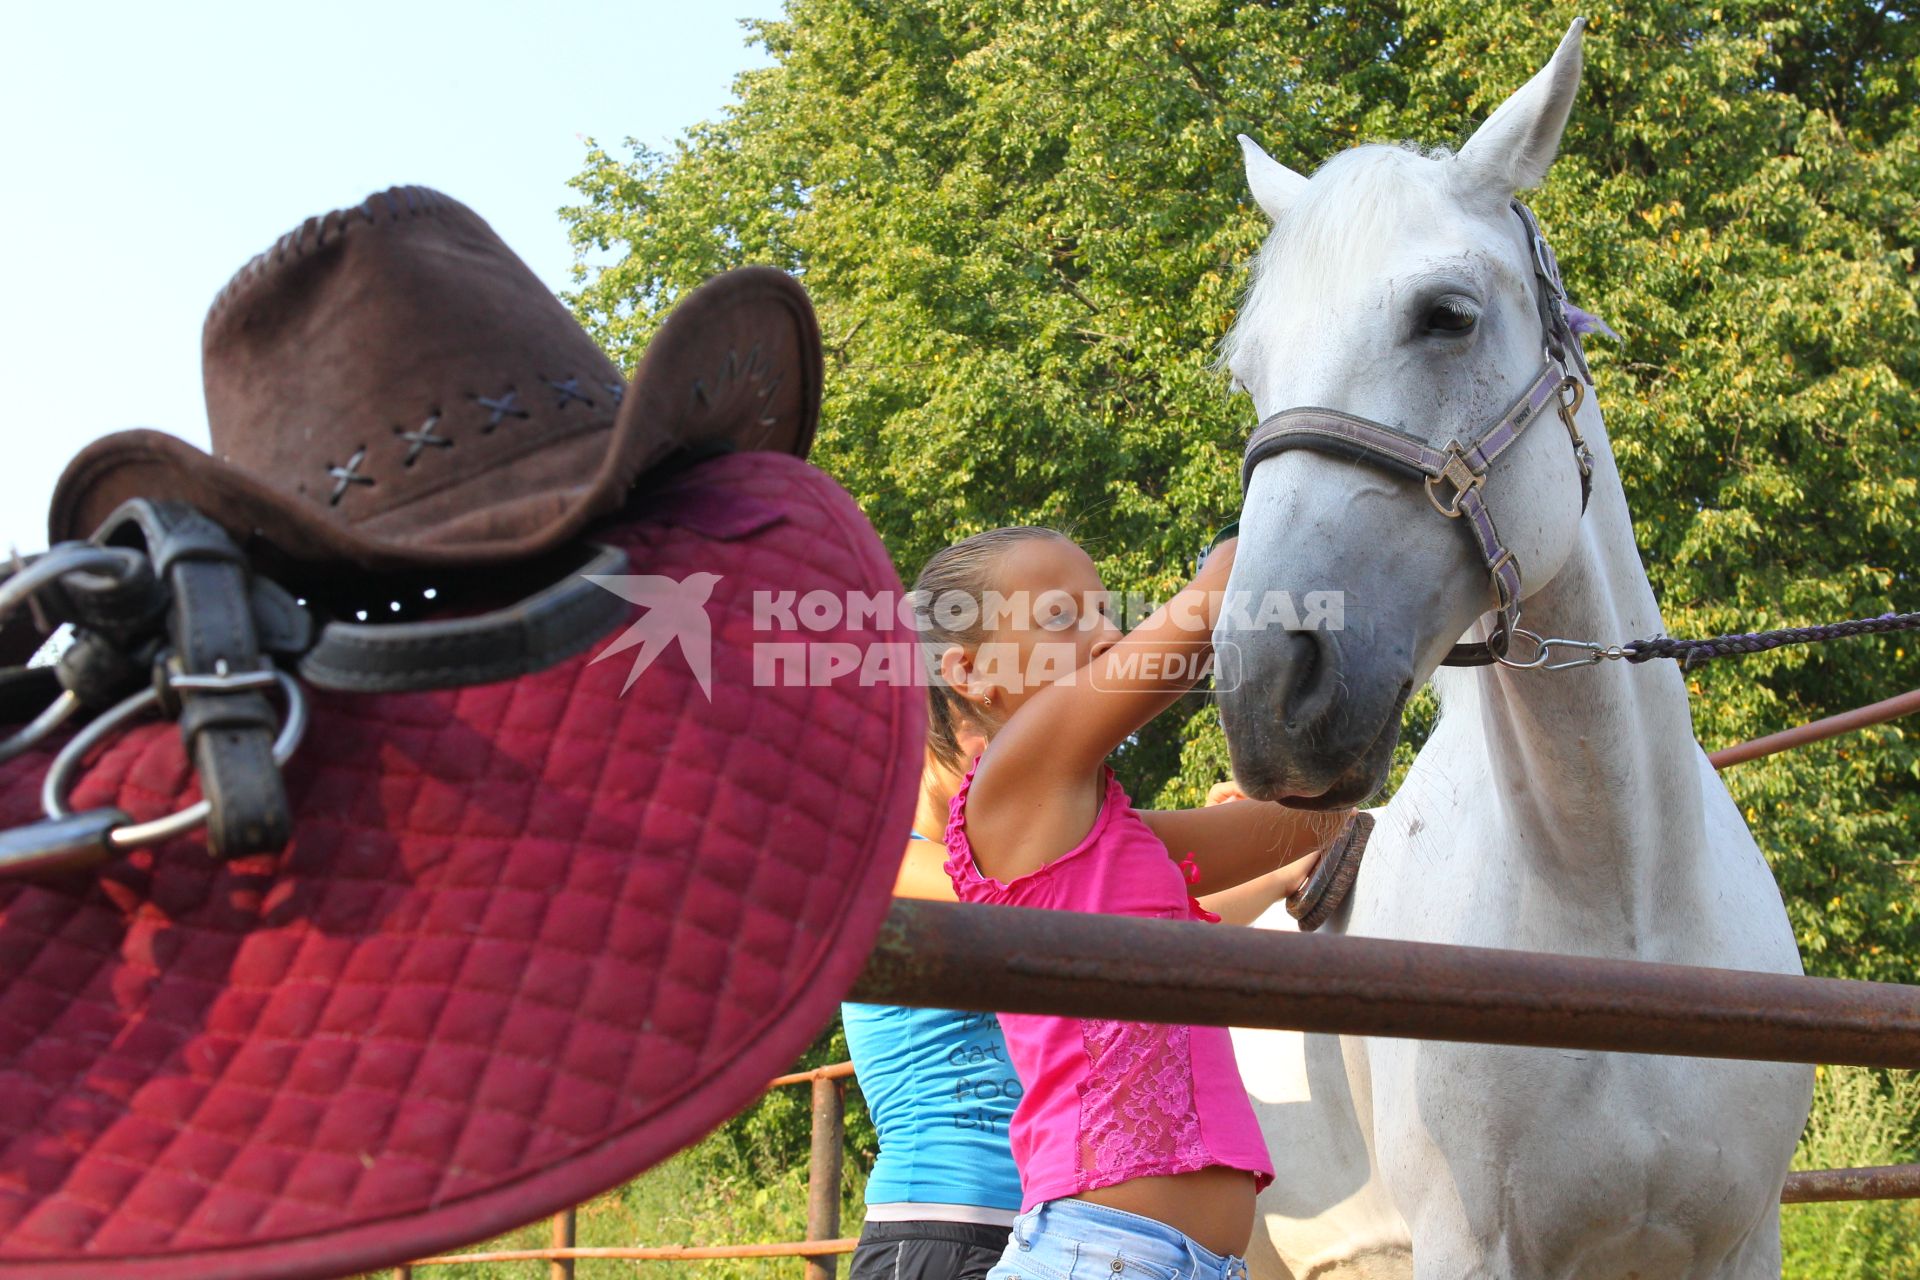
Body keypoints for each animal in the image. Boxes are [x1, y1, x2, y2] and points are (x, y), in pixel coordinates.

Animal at [1213, 22, 1812, 1280]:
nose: (1264, 691)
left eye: (1447, 314)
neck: (1622, 906)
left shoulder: (1740, 1240)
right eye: (1251, 371)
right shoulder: (1472, 1245)